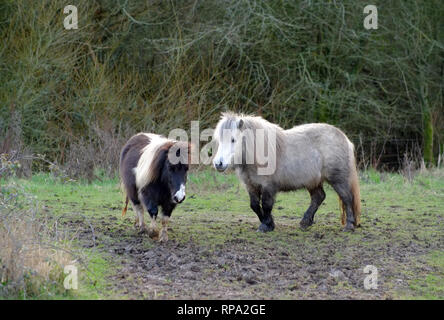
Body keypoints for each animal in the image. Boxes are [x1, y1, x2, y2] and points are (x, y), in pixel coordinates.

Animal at [212, 112, 360, 232]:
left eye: (233, 140)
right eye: (219, 140)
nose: (218, 163)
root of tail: (345, 139)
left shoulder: (268, 186)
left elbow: (266, 204)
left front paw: (266, 226)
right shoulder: (251, 186)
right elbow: (254, 206)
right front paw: (269, 224)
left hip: (338, 179)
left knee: (347, 198)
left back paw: (349, 225)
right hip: (313, 181)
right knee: (319, 197)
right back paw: (305, 222)